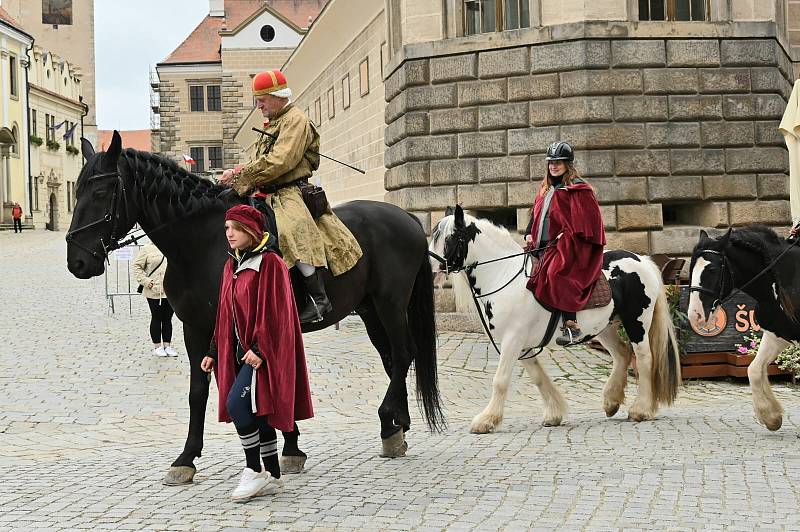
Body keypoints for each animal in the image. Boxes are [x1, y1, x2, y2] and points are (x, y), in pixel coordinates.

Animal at [66, 131, 444, 484]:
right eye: (77, 191)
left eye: (100, 193)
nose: (77, 262)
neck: (203, 240)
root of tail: (406, 217)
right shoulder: (196, 328)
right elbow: (199, 391)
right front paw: (188, 457)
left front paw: (277, 446)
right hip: (370, 311)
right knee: (392, 359)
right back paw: (397, 426)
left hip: (390, 304)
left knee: (404, 353)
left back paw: (387, 420)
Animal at [428, 206, 680, 434]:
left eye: (450, 238)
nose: (430, 273)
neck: (504, 275)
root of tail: (642, 260)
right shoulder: (522, 344)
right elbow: (538, 377)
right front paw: (554, 413)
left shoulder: (512, 340)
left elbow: (500, 380)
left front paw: (486, 421)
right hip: (604, 327)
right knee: (622, 353)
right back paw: (611, 401)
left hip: (636, 322)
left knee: (644, 358)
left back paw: (641, 410)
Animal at [688, 228, 800, 432]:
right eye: (691, 268)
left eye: (712, 269)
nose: (695, 316)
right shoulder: (777, 334)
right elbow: (754, 370)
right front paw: (771, 416)